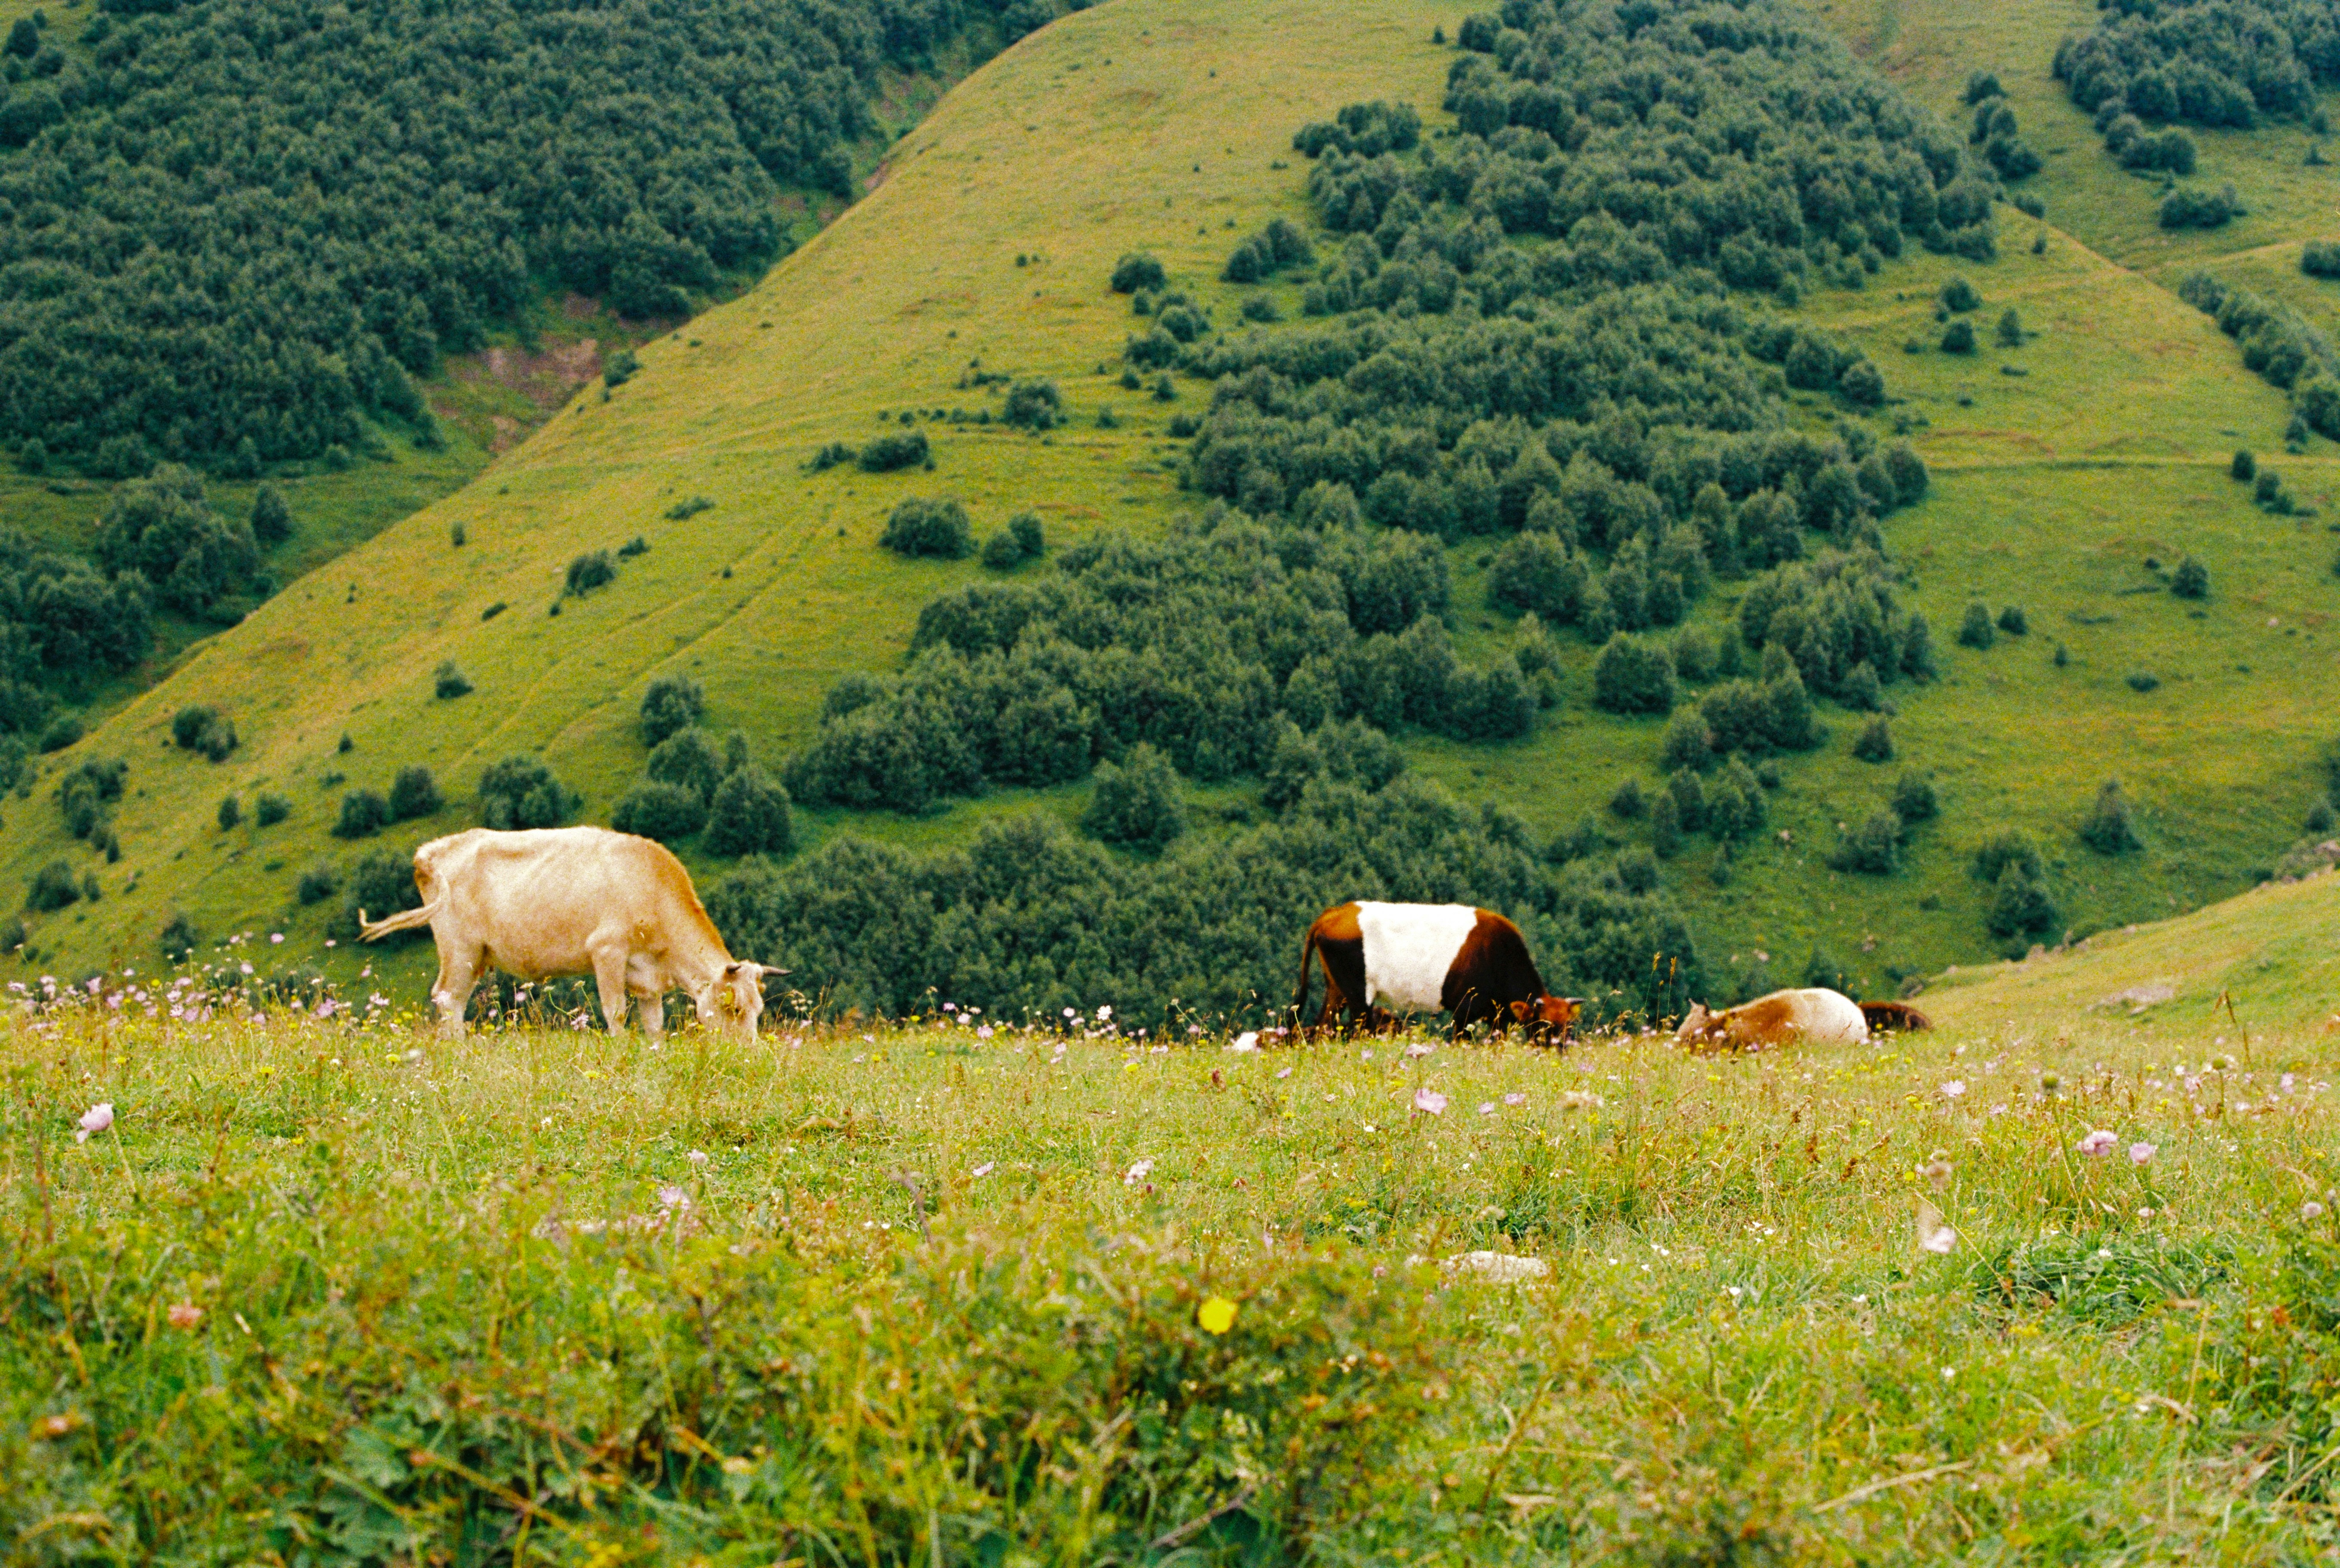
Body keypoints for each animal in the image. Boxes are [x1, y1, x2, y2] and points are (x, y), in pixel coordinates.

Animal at [355, 824, 777, 1044]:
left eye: (758, 1009)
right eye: (734, 1008)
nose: (747, 1054)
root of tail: (435, 848)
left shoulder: (647, 977)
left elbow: (654, 1024)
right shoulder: (607, 950)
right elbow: (616, 1012)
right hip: (461, 949)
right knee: (447, 998)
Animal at [1292, 908, 1582, 1044]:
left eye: (1569, 1027)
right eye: (1545, 1026)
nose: (1560, 1049)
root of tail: (1337, 912)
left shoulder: (1497, 1017)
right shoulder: (1465, 1011)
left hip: (1336, 990)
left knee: (1322, 1028)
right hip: (1358, 994)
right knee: (1359, 1030)